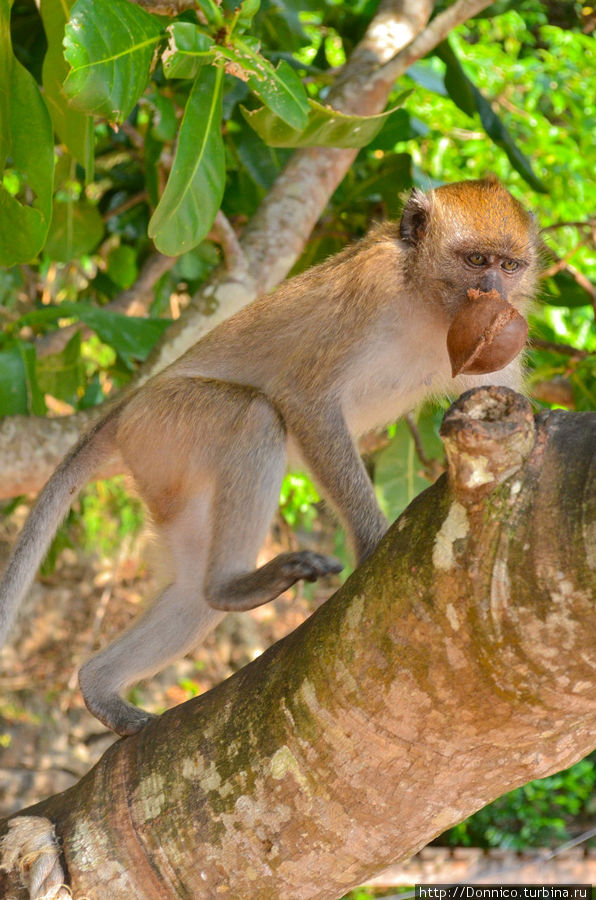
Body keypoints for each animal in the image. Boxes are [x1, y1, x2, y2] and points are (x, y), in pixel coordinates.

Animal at [0, 172, 540, 736]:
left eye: (510, 266)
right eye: (476, 261)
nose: (495, 294)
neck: (426, 299)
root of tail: (125, 410)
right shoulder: (373, 290)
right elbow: (305, 400)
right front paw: (373, 545)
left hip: (162, 468)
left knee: (190, 591)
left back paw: (102, 684)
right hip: (164, 424)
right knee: (256, 417)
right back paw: (233, 586)